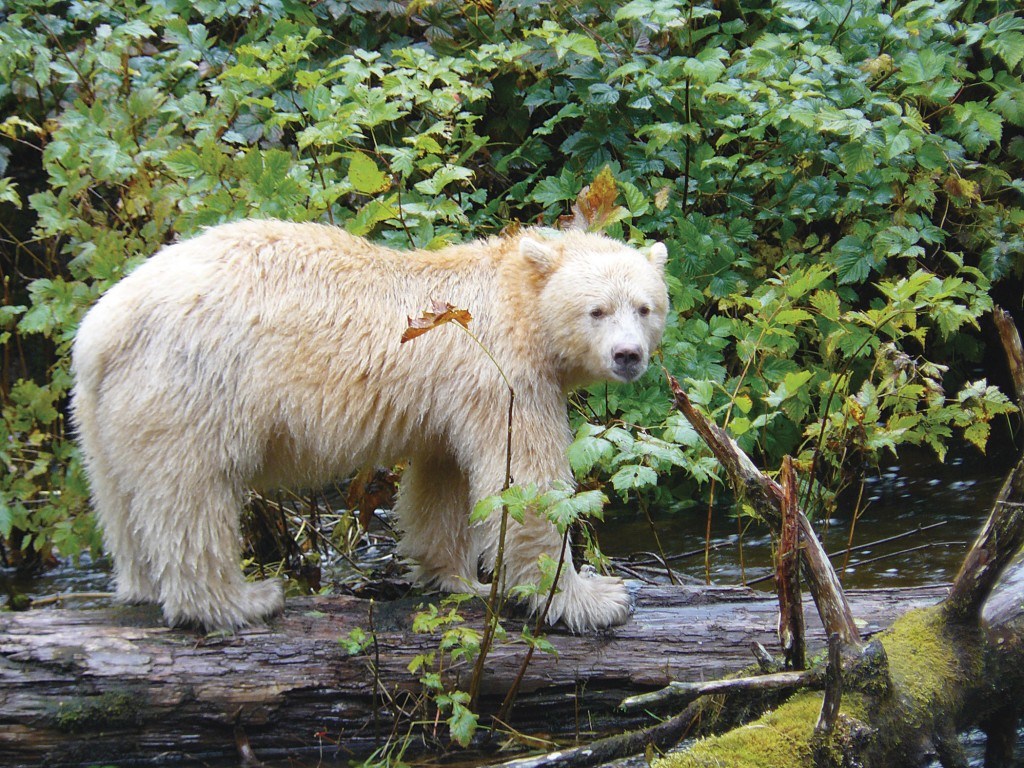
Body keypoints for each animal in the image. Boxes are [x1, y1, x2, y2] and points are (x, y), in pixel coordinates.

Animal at [75, 219, 675, 634]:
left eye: (645, 308)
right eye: (597, 310)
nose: (627, 356)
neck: (515, 301)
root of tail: (103, 325)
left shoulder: (449, 398)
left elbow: (444, 481)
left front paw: (458, 578)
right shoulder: (502, 374)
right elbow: (523, 482)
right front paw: (593, 599)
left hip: (104, 413)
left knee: (120, 498)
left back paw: (141, 585)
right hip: (196, 385)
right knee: (191, 496)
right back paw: (240, 601)